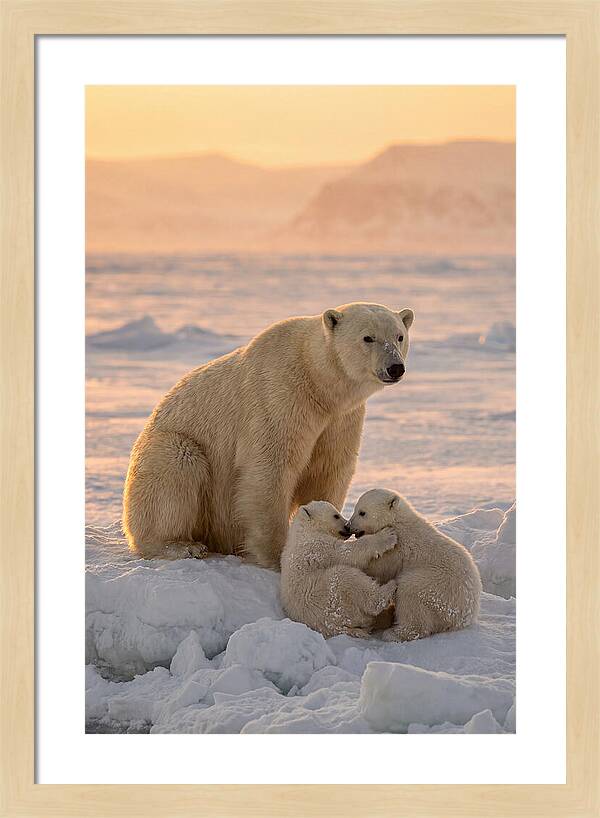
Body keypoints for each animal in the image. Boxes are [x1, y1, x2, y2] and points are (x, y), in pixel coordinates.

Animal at [123, 303, 414, 567]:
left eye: (399, 336)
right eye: (368, 337)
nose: (395, 367)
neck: (317, 382)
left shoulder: (340, 419)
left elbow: (328, 469)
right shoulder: (279, 396)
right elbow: (270, 468)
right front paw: (277, 555)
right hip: (169, 447)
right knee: (176, 467)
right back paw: (182, 545)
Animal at [280, 500, 398, 638]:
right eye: (336, 516)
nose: (347, 526)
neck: (304, 530)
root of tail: (337, 628)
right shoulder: (317, 546)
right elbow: (347, 553)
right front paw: (387, 535)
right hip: (329, 599)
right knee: (347, 579)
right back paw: (389, 587)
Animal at [347, 489, 482, 642]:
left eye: (362, 512)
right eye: (355, 509)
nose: (348, 526)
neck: (397, 521)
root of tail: (464, 617)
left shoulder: (398, 549)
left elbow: (380, 568)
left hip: (437, 588)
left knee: (410, 592)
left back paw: (393, 633)